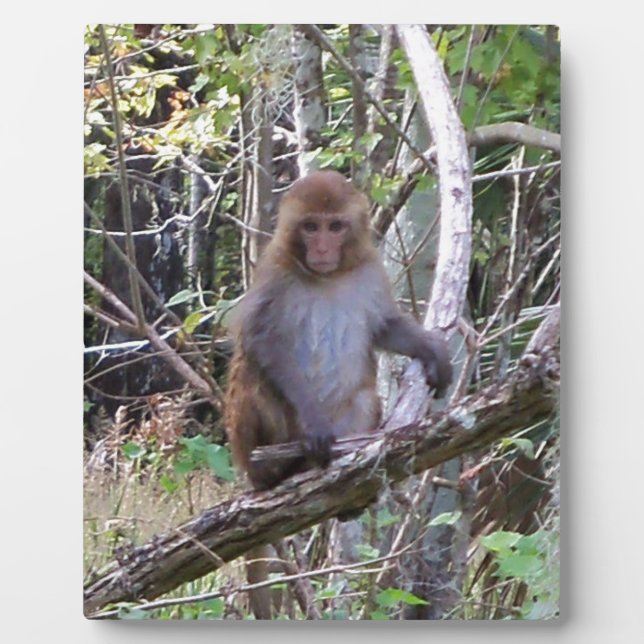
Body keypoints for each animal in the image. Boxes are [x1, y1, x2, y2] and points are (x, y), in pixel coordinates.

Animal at [224, 170, 452, 618]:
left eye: (335, 226)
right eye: (310, 227)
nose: (323, 248)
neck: (327, 277)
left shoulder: (370, 269)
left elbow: (384, 327)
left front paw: (430, 348)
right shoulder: (273, 273)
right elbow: (262, 343)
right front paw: (313, 420)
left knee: (363, 398)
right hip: (250, 442)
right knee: (252, 373)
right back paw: (275, 471)